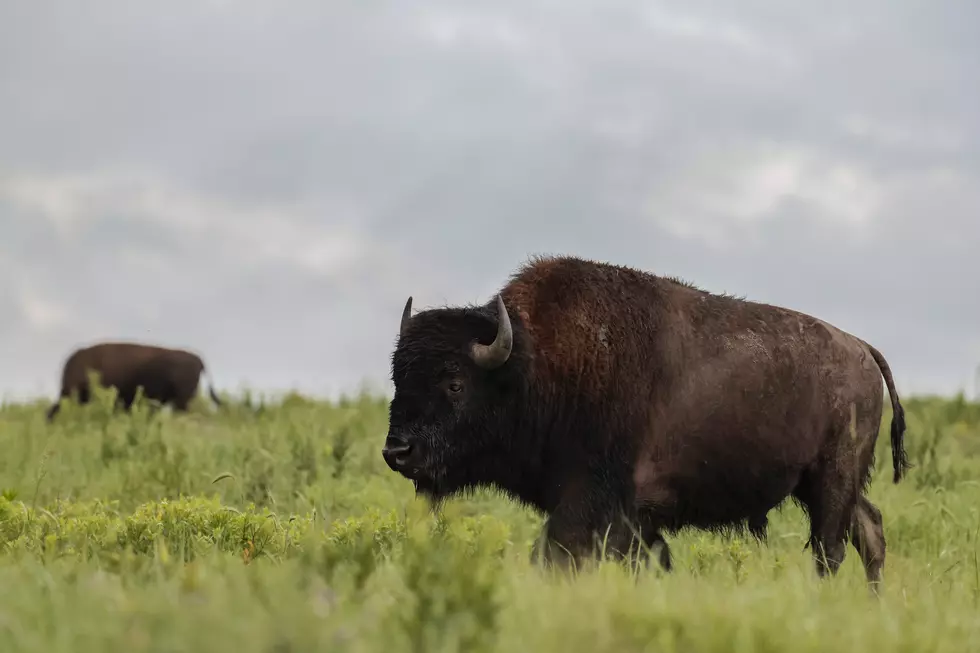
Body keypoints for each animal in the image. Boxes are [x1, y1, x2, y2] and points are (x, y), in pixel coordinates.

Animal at [382, 255, 909, 590]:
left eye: (454, 383)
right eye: (397, 377)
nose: (397, 452)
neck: (534, 364)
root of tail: (861, 348)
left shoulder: (592, 503)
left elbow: (556, 555)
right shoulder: (632, 519)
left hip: (832, 478)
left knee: (831, 548)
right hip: (821, 484)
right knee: (869, 530)